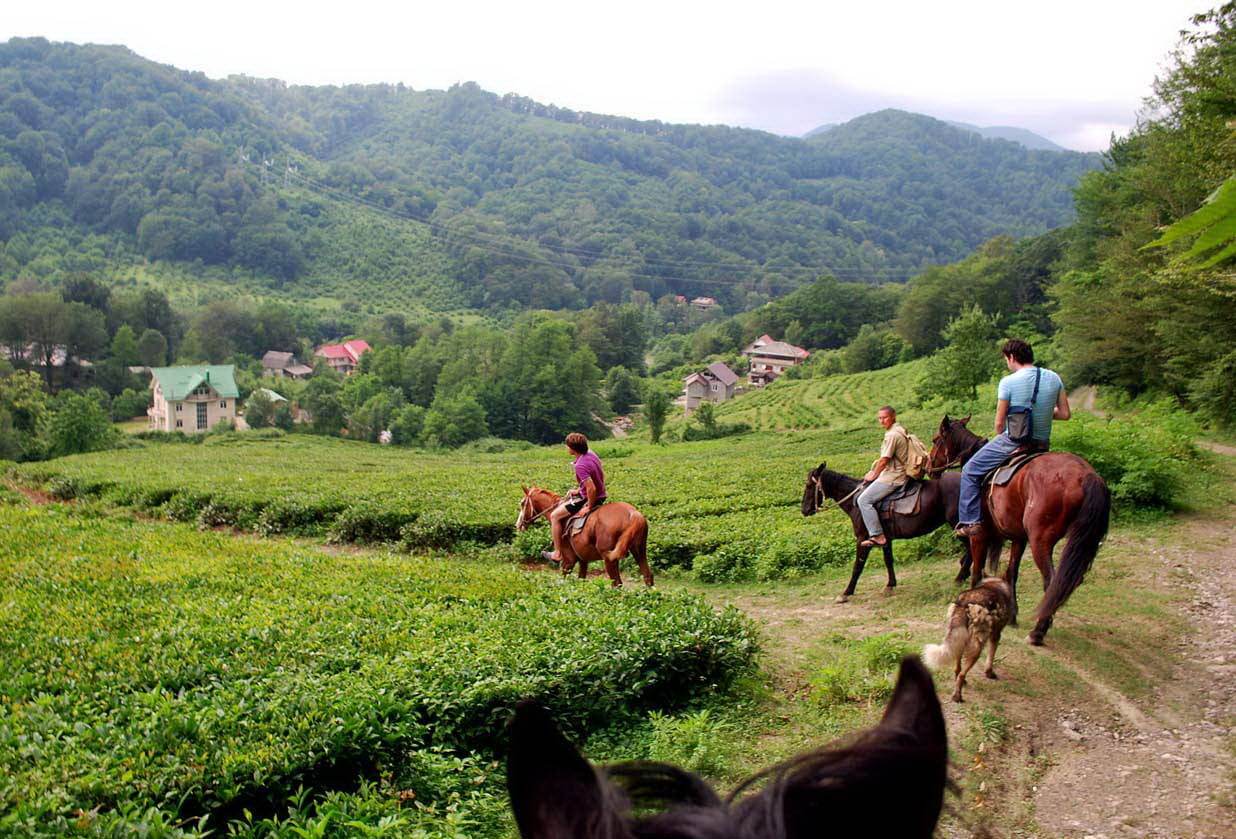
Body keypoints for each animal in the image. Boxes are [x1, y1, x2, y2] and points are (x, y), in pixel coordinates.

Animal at [514, 486, 652, 590]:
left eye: (522, 503)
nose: (518, 525)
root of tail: (633, 513)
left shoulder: (568, 560)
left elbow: (563, 578)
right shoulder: (583, 559)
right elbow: (581, 579)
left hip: (609, 559)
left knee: (617, 584)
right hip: (639, 551)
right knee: (648, 576)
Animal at [800, 467, 983, 602]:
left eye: (809, 485)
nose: (804, 510)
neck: (855, 502)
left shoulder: (862, 539)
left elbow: (857, 566)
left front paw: (846, 592)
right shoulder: (885, 539)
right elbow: (888, 560)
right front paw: (890, 585)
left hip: (959, 524)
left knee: (972, 547)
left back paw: (962, 577)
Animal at [929, 417, 1117, 647]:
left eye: (936, 439)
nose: (929, 467)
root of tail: (1087, 475)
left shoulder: (979, 536)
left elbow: (977, 571)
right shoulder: (1019, 538)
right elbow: (1011, 573)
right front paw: (1012, 616)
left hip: (1040, 541)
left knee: (1052, 581)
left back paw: (1038, 632)